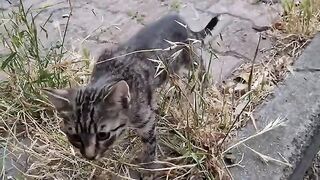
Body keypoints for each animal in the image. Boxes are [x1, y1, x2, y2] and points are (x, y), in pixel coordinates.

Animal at [43, 12, 218, 162]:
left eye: (102, 135)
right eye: (75, 137)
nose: (90, 156)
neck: (110, 73)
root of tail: (179, 19)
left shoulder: (146, 120)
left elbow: (149, 142)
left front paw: (147, 164)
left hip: (189, 57)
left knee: (200, 68)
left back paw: (204, 85)